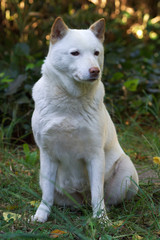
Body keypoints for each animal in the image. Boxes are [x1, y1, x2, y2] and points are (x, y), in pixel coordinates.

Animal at [31, 16, 139, 223]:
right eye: (75, 53)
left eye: (96, 53)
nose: (95, 70)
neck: (70, 101)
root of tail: (82, 200)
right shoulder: (47, 154)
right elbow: (47, 194)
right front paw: (41, 215)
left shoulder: (95, 155)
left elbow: (98, 193)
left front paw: (101, 220)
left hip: (127, 170)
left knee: (107, 198)